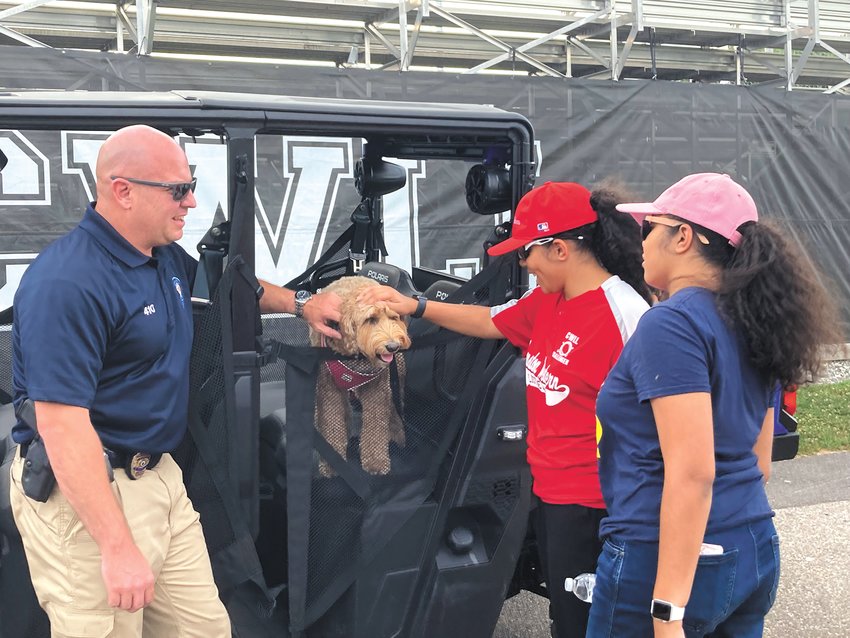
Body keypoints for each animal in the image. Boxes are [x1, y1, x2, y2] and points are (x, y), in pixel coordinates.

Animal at [312, 278, 410, 478]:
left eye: (394, 318)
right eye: (370, 319)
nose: (393, 346)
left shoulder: (378, 389)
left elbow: (376, 424)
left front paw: (376, 463)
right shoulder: (329, 389)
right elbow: (332, 423)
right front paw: (332, 463)